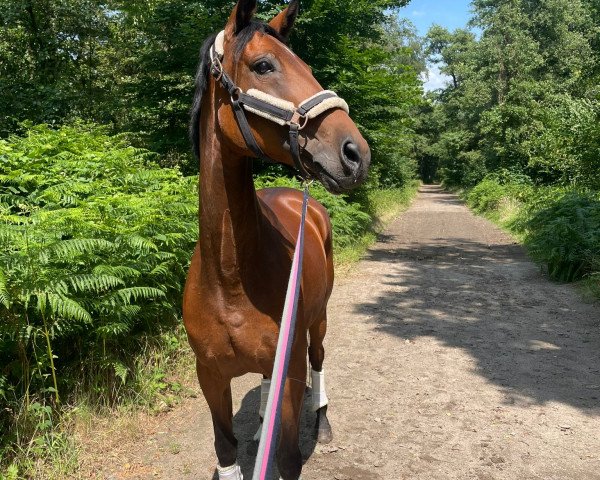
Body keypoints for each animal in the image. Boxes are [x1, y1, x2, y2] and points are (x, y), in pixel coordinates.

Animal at [183, 1, 370, 478]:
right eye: (263, 65)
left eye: (308, 67)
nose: (356, 153)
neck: (229, 275)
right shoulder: (209, 375)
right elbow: (225, 448)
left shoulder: (290, 368)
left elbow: (286, 456)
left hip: (317, 324)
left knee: (320, 360)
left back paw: (322, 423)